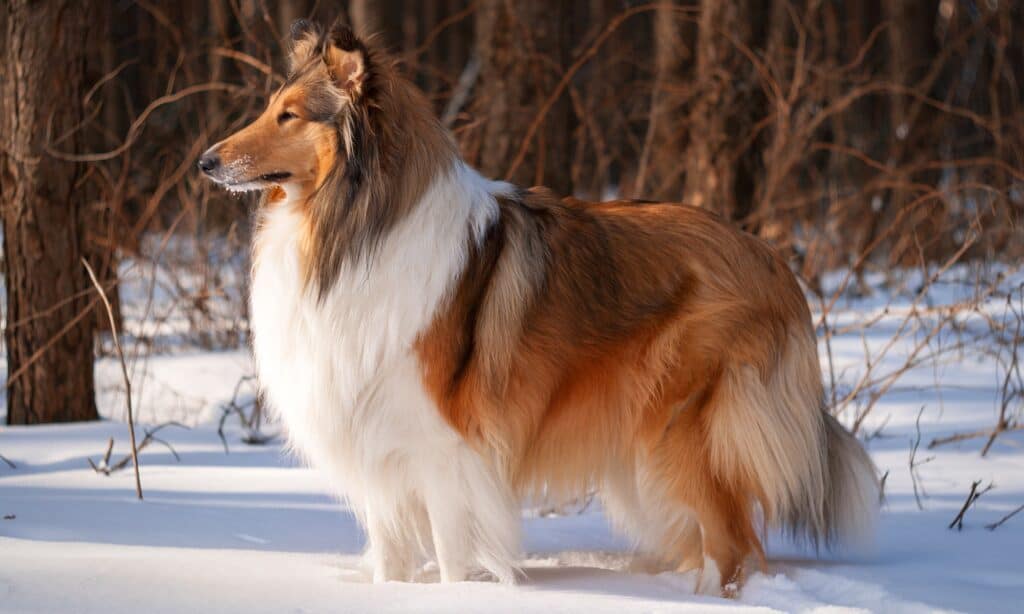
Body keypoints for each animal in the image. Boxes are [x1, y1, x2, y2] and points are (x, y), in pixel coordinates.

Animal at [201, 20, 880, 593]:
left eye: (288, 115)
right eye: (269, 108)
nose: (205, 161)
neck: (357, 230)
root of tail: (773, 261)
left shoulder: (443, 450)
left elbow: (452, 557)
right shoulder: (379, 447)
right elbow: (392, 560)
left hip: (683, 432)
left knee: (736, 546)